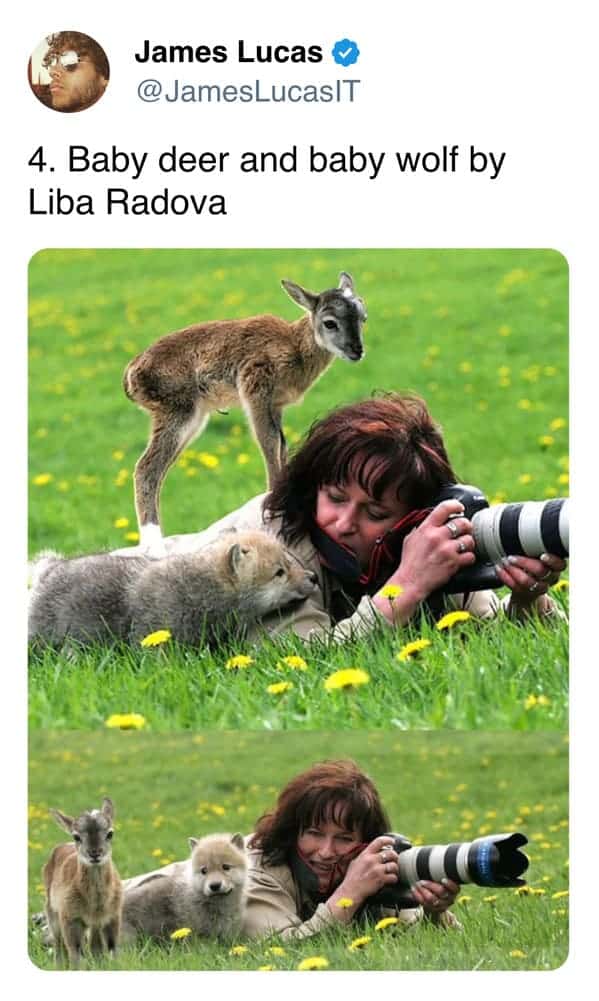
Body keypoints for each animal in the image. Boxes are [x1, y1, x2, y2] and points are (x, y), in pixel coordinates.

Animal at [42, 797, 122, 968]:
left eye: (110, 834)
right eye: (76, 837)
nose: (95, 853)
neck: (94, 906)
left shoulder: (112, 915)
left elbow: (111, 948)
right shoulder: (70, 918)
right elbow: (76, 953)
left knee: (94, 947)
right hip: (51, 911)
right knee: (58, 944)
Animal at [123, 271, 367, 555]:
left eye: (362, 317)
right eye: (329, 323)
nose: (356, 350)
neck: (294, 347)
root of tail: (131, 373)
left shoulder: (276, 406)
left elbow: (281, 445)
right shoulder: (256, 390)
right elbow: (268, 442)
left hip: (191, 419)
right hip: (178, 412)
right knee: (146, 468)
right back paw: (154, 546)